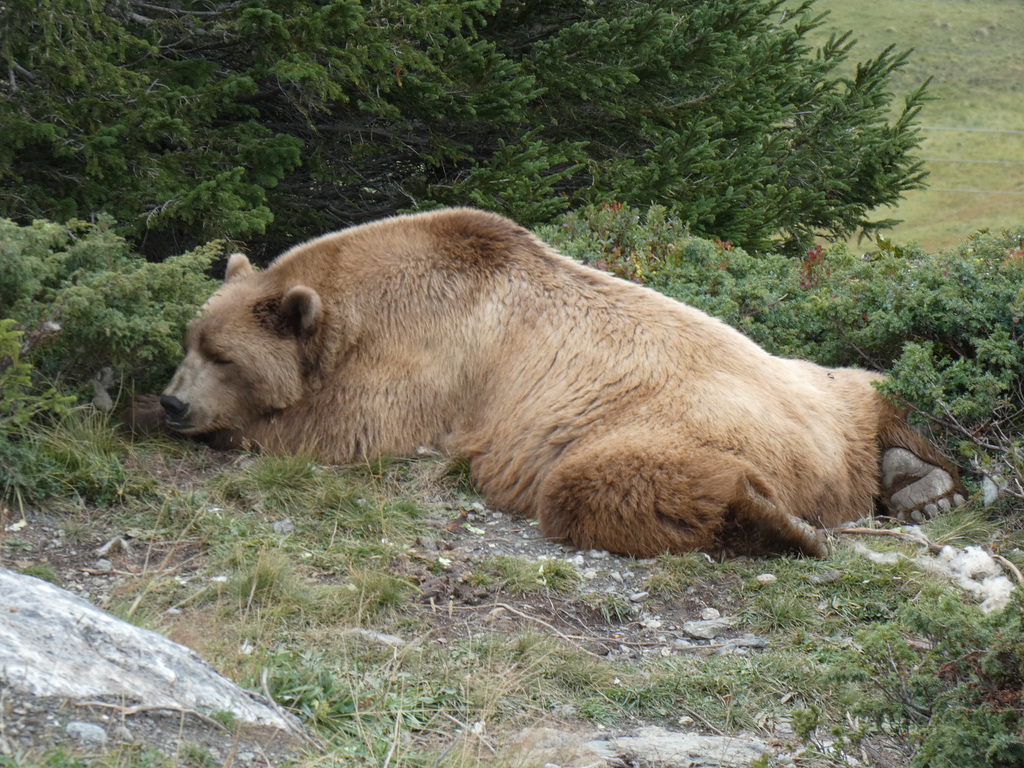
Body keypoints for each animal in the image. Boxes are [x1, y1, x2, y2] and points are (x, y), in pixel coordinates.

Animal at [146, 207, 966, 561]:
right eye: (191, 340)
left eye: (223, 356)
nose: (173, 402)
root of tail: (825, 472)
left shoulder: (429, 366)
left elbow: (342, 430)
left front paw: (237, 426)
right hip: (811, 384)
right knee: (872, 382)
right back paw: (921, 482)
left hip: (672, 424)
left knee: (597, 482)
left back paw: (783, 521)